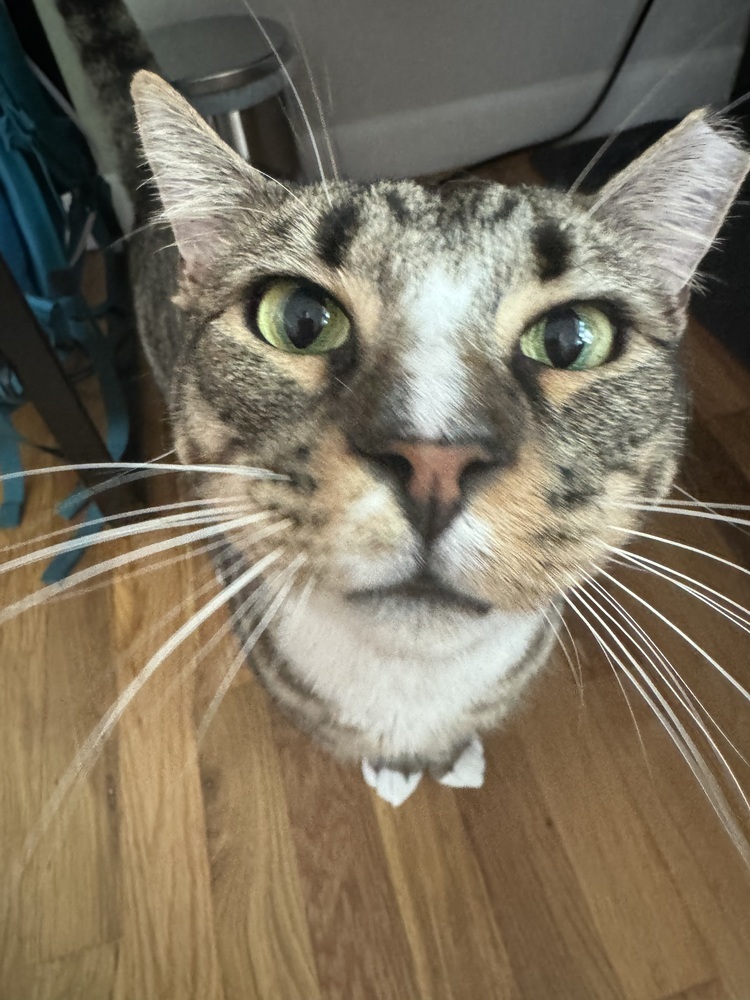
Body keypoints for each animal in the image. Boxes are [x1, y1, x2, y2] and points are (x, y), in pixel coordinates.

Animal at [54, 0, 750, 804]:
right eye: (300, 320)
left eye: (572, 338)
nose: (435, 459)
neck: (412, 691)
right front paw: (394, 771)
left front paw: (453, 757)